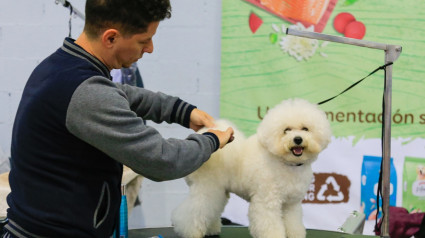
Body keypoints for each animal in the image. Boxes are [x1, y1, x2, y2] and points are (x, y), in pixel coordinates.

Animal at [171, 98, 332, 238]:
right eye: (286, 130)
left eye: (305, 129)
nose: (297, 139)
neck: (284, 162)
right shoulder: (267, 201)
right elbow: (270, 224)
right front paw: (274, 235)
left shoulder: (291, 204)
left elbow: (293, 222)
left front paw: (295, 234)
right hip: (207, 188)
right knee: (194, 210)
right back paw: (190, 232)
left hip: (219, 191)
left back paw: (211, 230)